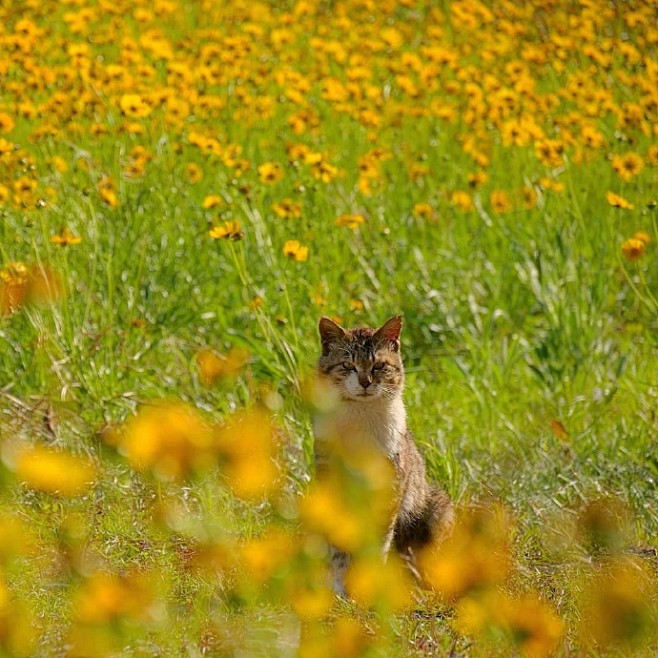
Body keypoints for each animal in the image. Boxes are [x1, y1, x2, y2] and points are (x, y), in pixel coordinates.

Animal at [312, 314, 452, 596]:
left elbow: (377, 544)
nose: (365, 381)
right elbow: (339, 550)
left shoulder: (389, 490)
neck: (360, 417)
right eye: (348, 365)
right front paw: (340, 589)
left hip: (438, 508)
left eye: (378, 365)